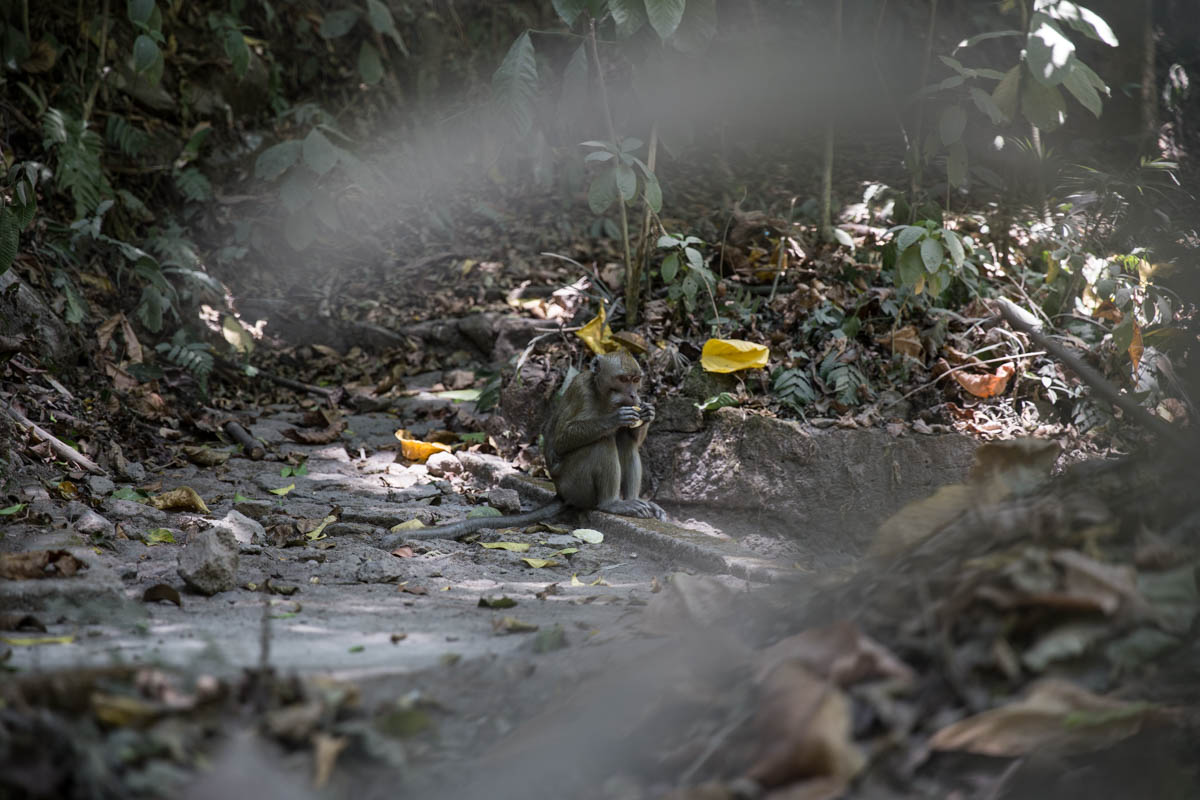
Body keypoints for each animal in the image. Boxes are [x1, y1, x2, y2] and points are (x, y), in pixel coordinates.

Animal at [400, 352, 667, 544]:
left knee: (624, 442)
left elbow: (631, 438)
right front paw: (615, 418)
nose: (633, 395)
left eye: (636, 380)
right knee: (601, 442)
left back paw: (633, 501)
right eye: (623, 380)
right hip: (575, 484)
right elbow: (563, 439)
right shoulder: (582, 391)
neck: (602, 394)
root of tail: (561, 493)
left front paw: (648, 412)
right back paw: (611, 504)